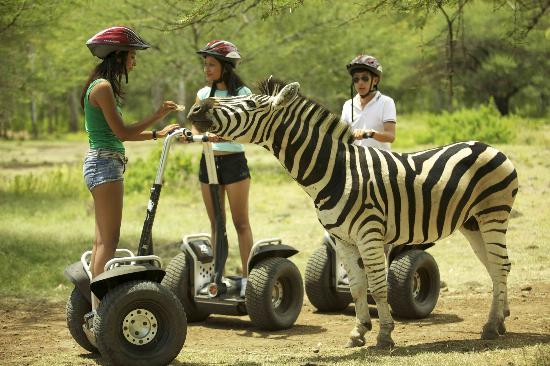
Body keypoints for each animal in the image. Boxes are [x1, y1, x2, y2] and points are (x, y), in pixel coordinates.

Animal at [188, 76, 520, 348]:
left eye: (247, 103)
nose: (194, 109)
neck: (337, 171)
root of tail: (489, 146)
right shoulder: (342, 238)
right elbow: (358, 286)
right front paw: (359, 332)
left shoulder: (369, 233)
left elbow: (378, 284)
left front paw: (385, 335)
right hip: (472, 223)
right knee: (495, 267)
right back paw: (501, 319)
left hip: (493, 214)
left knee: (500, 267)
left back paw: (492, 327)